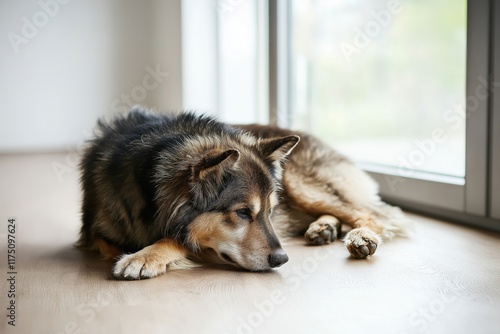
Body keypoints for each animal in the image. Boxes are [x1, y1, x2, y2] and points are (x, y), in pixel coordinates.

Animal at [77, 107, 406, 280]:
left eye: (270, 212)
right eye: (243, 213)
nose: (282, 259)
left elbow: (179, 238)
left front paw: (146, 256)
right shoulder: (93, 234)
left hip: (301, 185)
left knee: (372, 214)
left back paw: (361, 238)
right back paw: (323, 228)